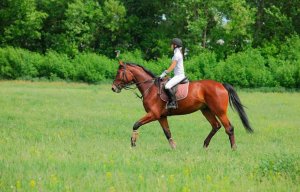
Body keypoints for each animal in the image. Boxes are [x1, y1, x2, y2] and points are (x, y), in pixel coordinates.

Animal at [110, 60, 253, 149]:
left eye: (119, 73)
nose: (113, 88)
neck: (151, 88)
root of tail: (221, 85)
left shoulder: (153, 114)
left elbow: (136, 124)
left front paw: (133, 142)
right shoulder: (161, 116)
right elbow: (167, 132)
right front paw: (174, 147)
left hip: (219, 111)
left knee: (229, 128)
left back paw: (233, 148)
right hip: (206, 110)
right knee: (215, 126)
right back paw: (205, 145)